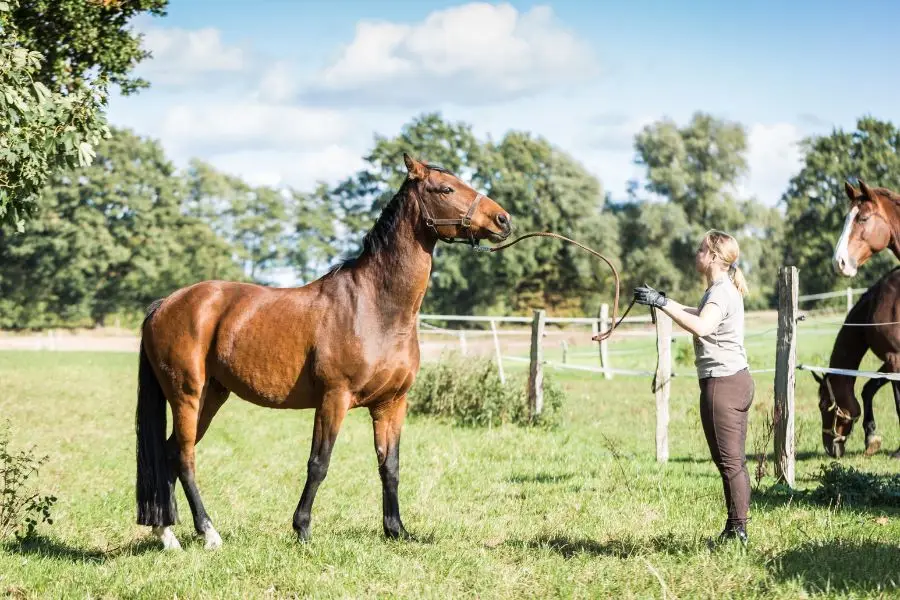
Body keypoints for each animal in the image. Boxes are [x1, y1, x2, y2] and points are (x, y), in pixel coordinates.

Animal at [134, 154, 512, 548]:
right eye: (446, 188)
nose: (503, 219)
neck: (375, 306)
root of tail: (164, 305)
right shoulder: (334, 398)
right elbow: (319, 463)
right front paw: (302, 529)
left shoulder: (391, 403)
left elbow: (389, 466)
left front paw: (396, 529)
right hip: (187, 396)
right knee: (185, 457)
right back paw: (208, 533)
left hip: (211, 396)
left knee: (169, 453)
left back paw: (167, 535)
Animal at [808, 264, 900, 458]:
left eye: (823, 405)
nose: (829, 448)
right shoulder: (890, 359)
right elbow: (868, 389)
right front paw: (871, 438)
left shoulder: (894, 358)